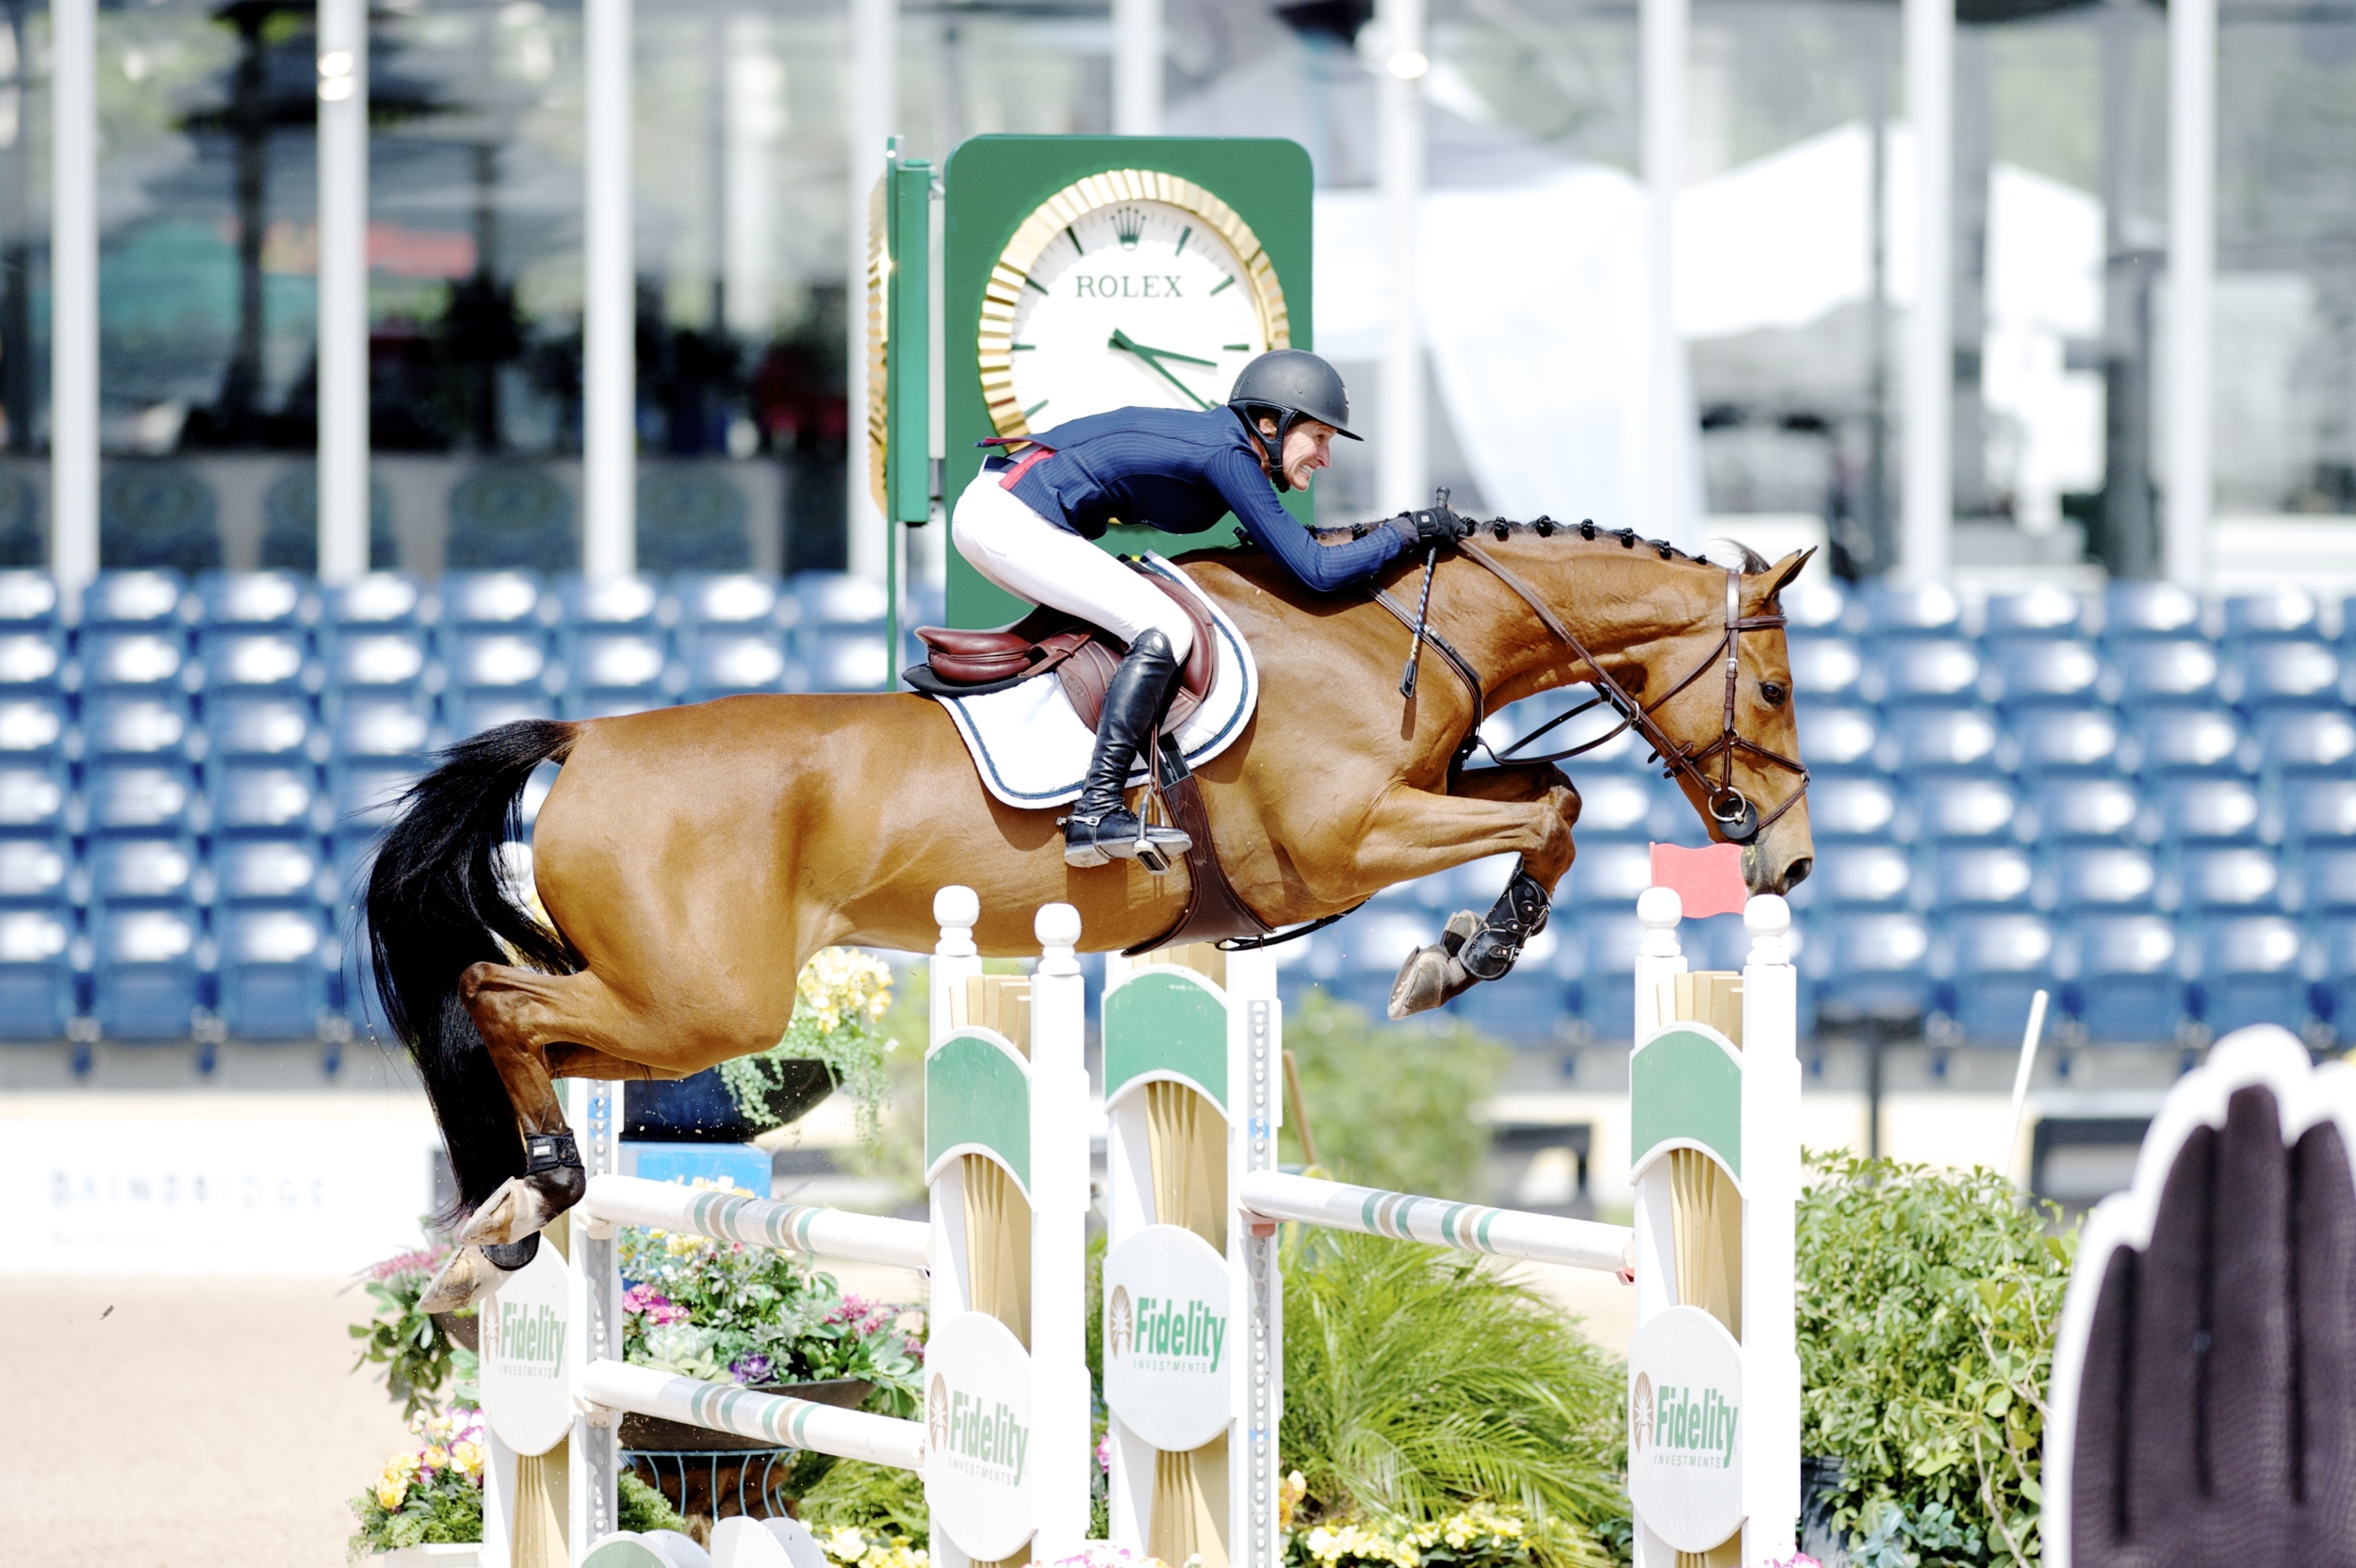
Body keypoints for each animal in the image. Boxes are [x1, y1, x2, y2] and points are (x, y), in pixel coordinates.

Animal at [372, 525, 1819, 1309]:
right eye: (1777, 687)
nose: (1791, 863)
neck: (1392, 633)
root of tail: (585, 737)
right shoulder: (1348, 843)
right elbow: (1549, 817)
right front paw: (1458, 958)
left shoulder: (1416, 799)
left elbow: (1548, 793)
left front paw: (1456, 949)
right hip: (705, 999)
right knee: (498, 998)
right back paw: (530, 1193)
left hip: (671, 1003)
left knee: (531, 1030)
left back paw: (510, 1208)